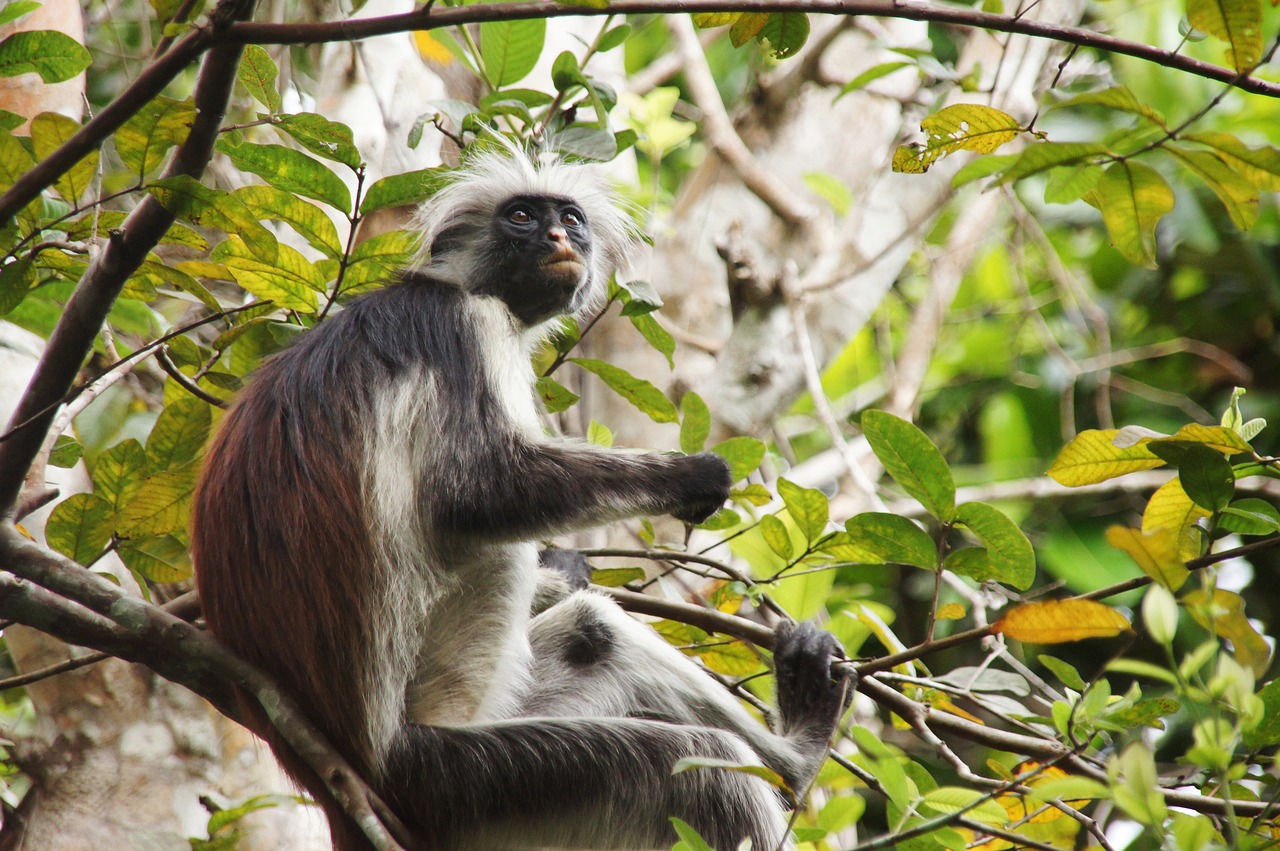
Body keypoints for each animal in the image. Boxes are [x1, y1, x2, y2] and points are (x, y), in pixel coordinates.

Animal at [192, 149, 849, 844]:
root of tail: (340, 779)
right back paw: (795, 759)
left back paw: (792, 758)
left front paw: (564, 568)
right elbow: (479, 492)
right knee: (703, 764)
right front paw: (691, 477)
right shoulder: (464, 326)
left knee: (594, 633)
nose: (560, 238)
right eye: (522, 217)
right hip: (458, 773)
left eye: (571, 219)